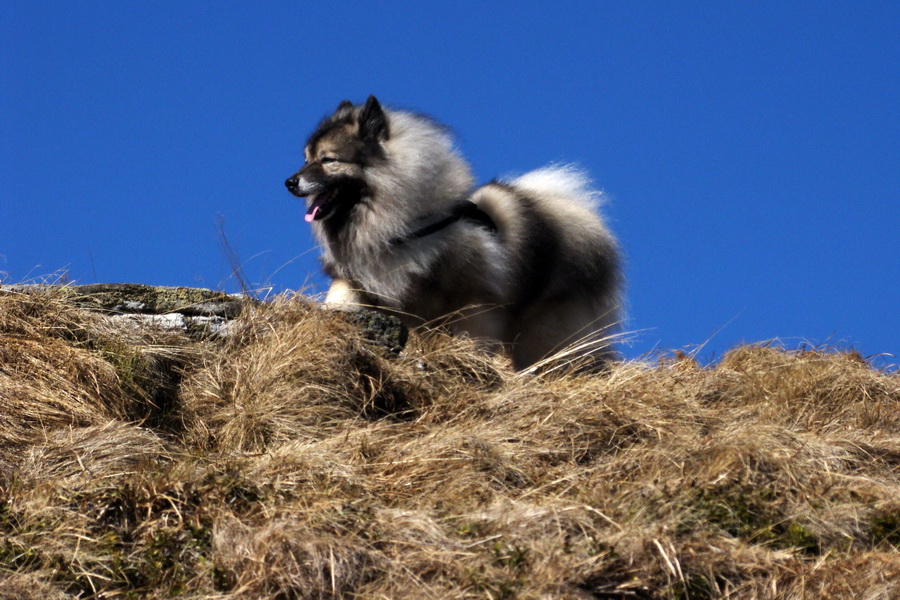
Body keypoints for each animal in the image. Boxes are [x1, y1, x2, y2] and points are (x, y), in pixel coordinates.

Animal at [284, 96, 624, 370]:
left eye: (328, 160)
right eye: (306, 158)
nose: (289, 182)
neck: (411, 228)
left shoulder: (476, 303)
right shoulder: (357, 282)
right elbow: (339, 301)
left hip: (547, 330)